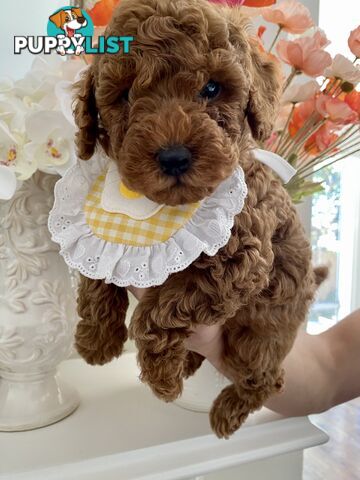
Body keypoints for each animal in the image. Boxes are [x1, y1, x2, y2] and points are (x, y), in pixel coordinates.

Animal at [72, 0, 318, 438]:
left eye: (212, 89)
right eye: (125, 95)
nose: (174, 157)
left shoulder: (239, 259)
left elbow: (158, 312)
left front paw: (161, 378)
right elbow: (96, 271)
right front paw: (96, 341)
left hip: (256, 338)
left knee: (268, 378)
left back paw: (225, 413)